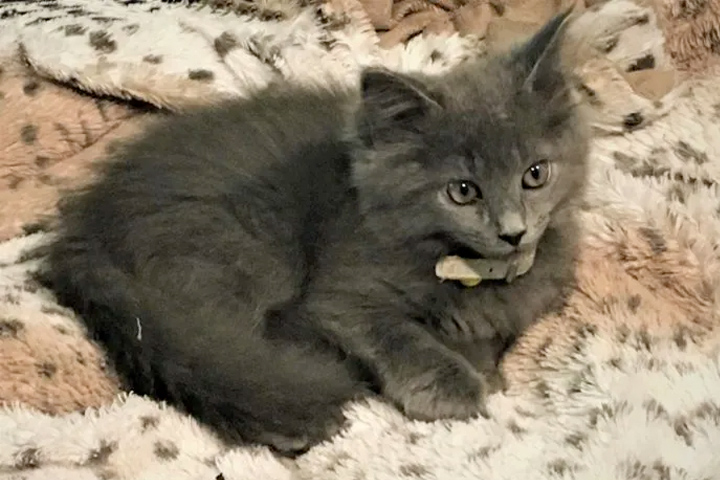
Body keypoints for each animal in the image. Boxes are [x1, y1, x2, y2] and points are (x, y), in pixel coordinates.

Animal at [39, 10, 588, 454]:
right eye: (462, 191)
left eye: (535, 174)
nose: (514, 232)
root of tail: (85, 230)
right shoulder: (340, 295)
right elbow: (397, 332)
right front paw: (452, 385)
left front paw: (482, 360)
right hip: (238, 251)